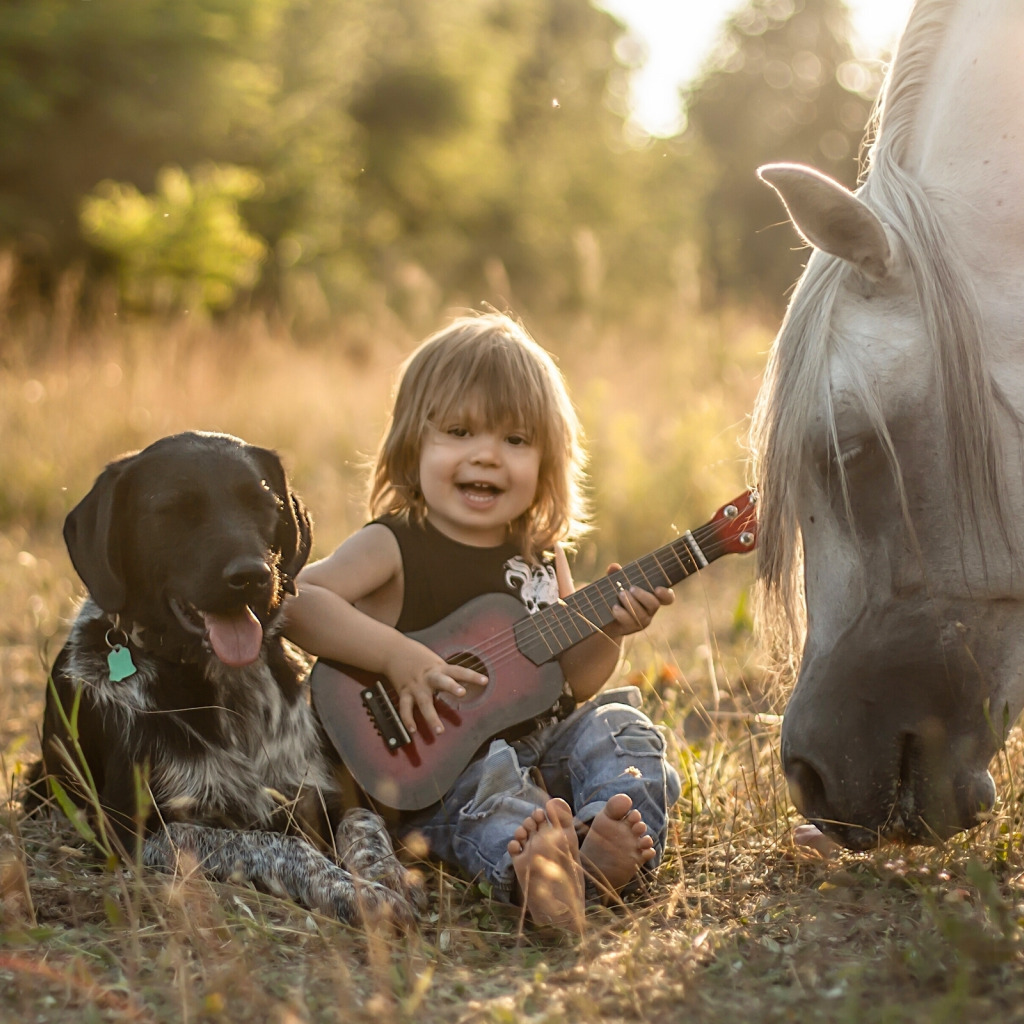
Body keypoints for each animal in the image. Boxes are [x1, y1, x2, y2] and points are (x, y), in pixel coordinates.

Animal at [25, 428, 415, 925]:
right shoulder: (136, 832)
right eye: (173, 510)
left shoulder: (329, 792)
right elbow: (270, 843)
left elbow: (366, 826)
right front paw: (351, 891)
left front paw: (383, 876)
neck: (228, 686)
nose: (251, 575)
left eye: (264, 505)